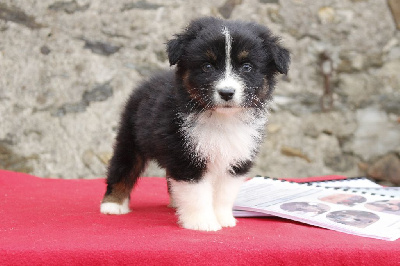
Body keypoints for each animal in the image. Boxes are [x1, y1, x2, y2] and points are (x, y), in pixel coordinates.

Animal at [99, 17, 290, 232]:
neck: (221, 119)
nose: (226, 92)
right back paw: (113, 204)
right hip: (130, 136)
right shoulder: (186, 156)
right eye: (207, 66)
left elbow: (224, 193)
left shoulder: (237, 158)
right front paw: (202, 222)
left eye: (247, 67)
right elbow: (197, 193)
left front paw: (223, 219)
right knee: (123, 167)